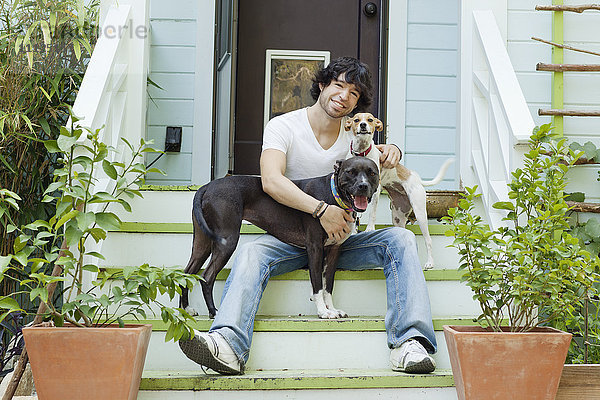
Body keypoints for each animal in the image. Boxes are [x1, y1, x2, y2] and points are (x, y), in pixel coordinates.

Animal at [180, 156, 380, 318]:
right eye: (350, 172)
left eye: (372, 173)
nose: (363, 186)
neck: (334, 195)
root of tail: (207, 186)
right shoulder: (315, 248)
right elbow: (317, 285)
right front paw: (323, 312)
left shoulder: (334, 251)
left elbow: (328, 286)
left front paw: (332, 309)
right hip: (226, 240)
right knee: (207, 276)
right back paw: (213, 311)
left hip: (202, 243)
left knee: (187, 272)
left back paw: (186, 310)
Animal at [344, 112, 452, 268]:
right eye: (356, 120)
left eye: (370, 120)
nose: (363, 125)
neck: (361, 154)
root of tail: (415, 177)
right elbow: (354, 214)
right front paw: (353, 232)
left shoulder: (375, 191)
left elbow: (372, 213)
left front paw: (370, 229)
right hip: (398, 218)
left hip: (420, 213)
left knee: (428, 240)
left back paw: (430, 263)